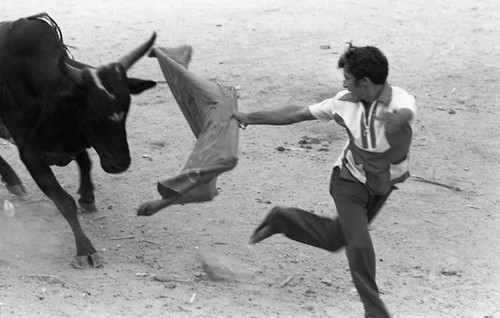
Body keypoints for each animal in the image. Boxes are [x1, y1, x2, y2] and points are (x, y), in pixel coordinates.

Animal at [0, 13, 156, 268]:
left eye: (126, 109)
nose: (120, 164)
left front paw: (87, 196)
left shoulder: (77, 140)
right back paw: (12, 179)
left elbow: (86, 163)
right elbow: (64, 201)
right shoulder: (31, 154)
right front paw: (85, 249)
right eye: (92, 113)